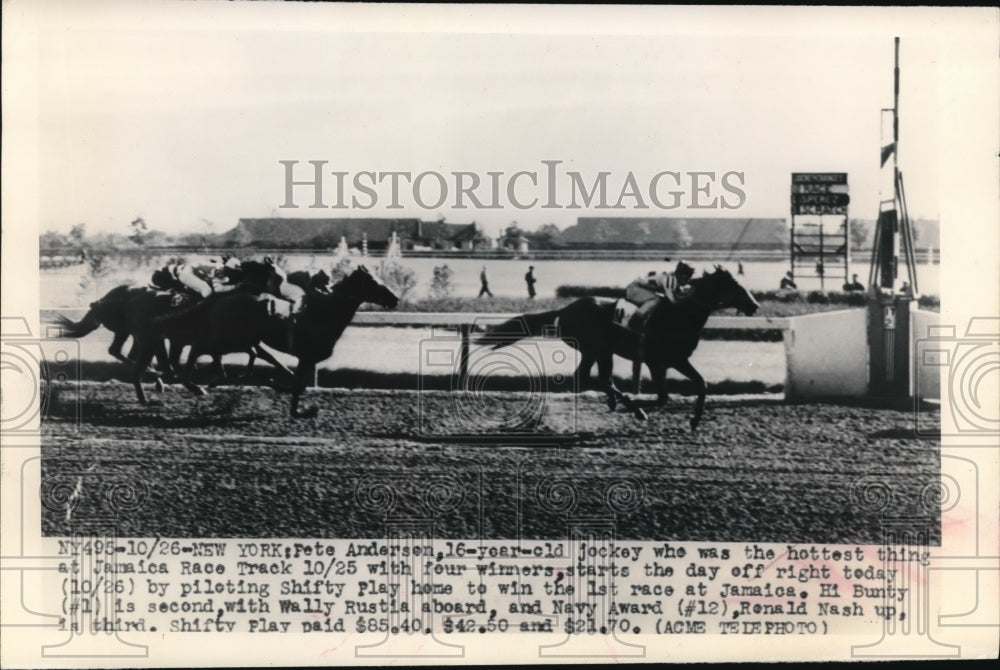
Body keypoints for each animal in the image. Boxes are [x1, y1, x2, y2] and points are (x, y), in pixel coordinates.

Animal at [146, 266, 402, 418]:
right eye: (374, 282)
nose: (395, 298)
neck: (323, 315)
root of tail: (220, 297)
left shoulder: (306, 359)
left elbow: (299, 385)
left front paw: (289, 399)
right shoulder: (306, 356)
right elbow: (297, 386)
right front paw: (297, 406)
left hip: (236, 338)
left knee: (201, 349)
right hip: (232, 338)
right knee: (198, 347)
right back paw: (195, 384)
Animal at [476, 268, 756, 430]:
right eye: (733, 285)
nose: (754, 306)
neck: (680, 314)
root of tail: (565, 310)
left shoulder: (676, 360)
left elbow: (701, 384)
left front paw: (695, 419)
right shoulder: (657, 362)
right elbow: (663, 397)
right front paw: (638, 407)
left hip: (603, 351)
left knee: (600, 378)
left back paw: (617, 401)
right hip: (592, 348)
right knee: (586, 377)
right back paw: (629, 406)